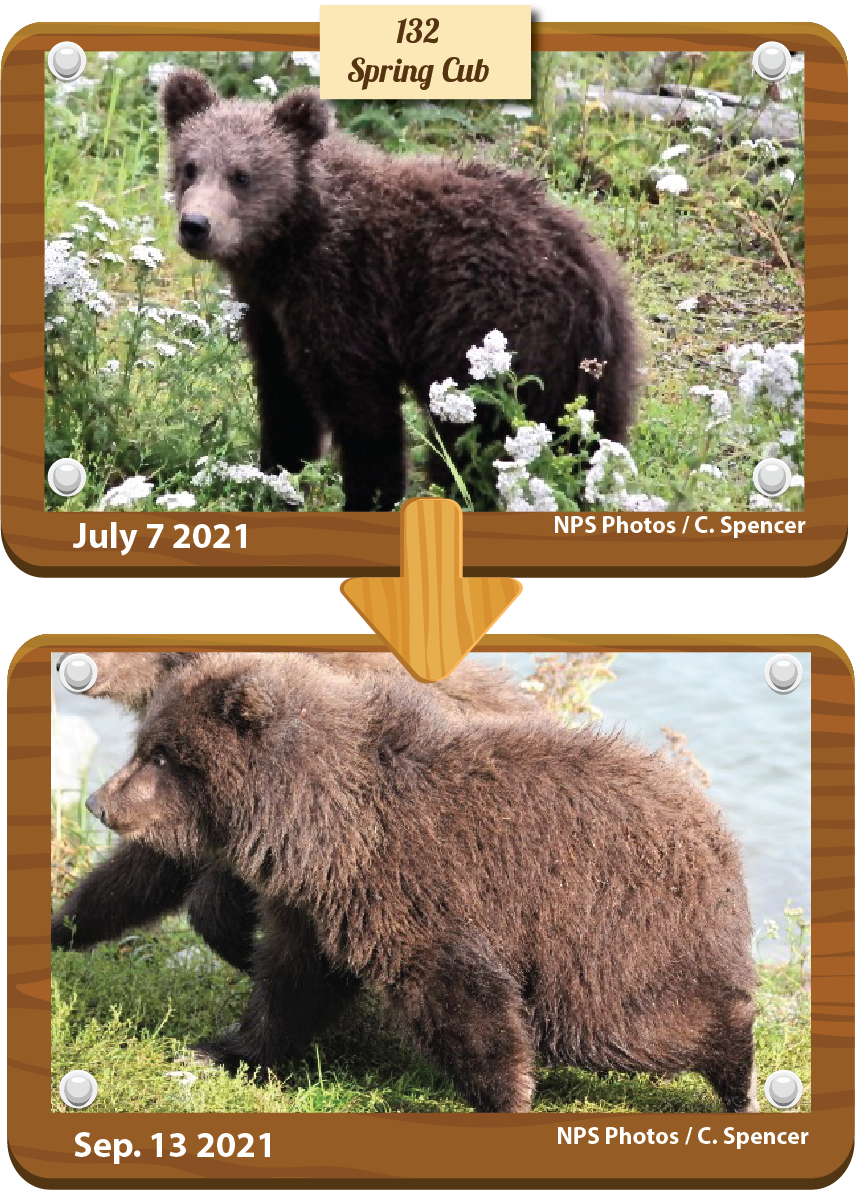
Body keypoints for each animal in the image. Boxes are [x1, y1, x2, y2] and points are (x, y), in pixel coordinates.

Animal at [161, 71, 639, 510]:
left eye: (241, 175)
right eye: (190, 166)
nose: (196, 225)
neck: (287, 246)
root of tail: (591, 291)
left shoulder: (344, 293)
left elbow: (364, 414)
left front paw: (369, 497)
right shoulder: (271, 314)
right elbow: (285, 398)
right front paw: (274, 481)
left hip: (495, 341)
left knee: (474, 444)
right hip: (597, 376)